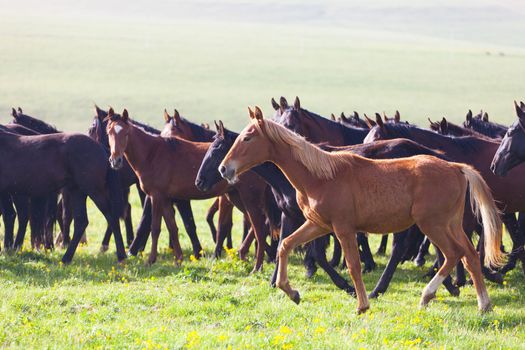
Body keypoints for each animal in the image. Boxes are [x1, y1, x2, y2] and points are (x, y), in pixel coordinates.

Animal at [103, 109, 274, 270]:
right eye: (109, 132)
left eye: (125, 133)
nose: (115, 160)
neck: (152, 153)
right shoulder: (166, 199)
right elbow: (172, 227)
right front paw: (178, 259)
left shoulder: (156, 197)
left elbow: (155, 228)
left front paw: (151, 260)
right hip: (235, 196)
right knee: (258, 224)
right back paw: (249, 253)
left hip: (248, 197)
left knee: (259, 225)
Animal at [219, 107, 502, 314]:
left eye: (247, 137)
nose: (224, 168)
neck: (321, 176)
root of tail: (456, 168)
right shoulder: (317, 224)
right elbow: (285, 245)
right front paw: (292, 292)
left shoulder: (343, 229)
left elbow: (353, 265)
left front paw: (362, 304)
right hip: (451, 224)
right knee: (470, 256)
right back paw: (483, 305)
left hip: (432, 224)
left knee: (453, 254)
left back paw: (427, 295)